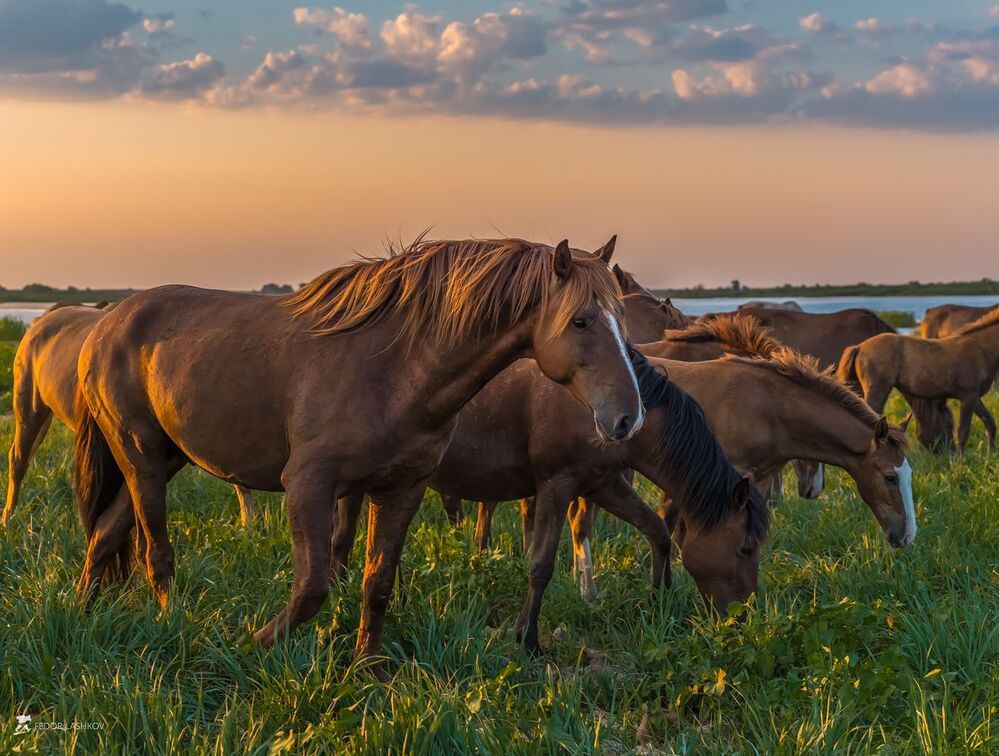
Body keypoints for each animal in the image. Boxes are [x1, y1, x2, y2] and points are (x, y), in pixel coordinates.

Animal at [71, 236, 645, 672]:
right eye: (581, 321)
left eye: (623, 318)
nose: (627, 418)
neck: (392, 368)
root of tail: (104, 325)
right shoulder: (308, 486)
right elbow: (313, 588)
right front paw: (248, 646)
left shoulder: (400, 490)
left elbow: (378, 582)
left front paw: (366, 668)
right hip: (141, 458)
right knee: (156, 552)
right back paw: (172, 624)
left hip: (168, 458)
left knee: (105, 534)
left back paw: (83, 612)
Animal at [329, 349, 769, 653]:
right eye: (746, 548)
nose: (745, 618)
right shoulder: (558, 484)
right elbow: (541, 564)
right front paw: (527, 639)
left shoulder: (604, 485)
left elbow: (657, 531)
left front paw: (658, 600)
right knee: (344, 535)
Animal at [566, 348, 917, 597]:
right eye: (889, 476)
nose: (906, 536)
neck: (768, 407)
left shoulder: (752, 480)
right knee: (580, 523)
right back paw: (587, 591)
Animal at [838, 309, 999, 452]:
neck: (980, 349)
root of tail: (859, 347)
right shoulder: (968, 397)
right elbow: (963, 433)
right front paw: (958, 463)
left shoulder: (974, 397)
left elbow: (990, 423)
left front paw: (990, 454)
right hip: (877, 391)